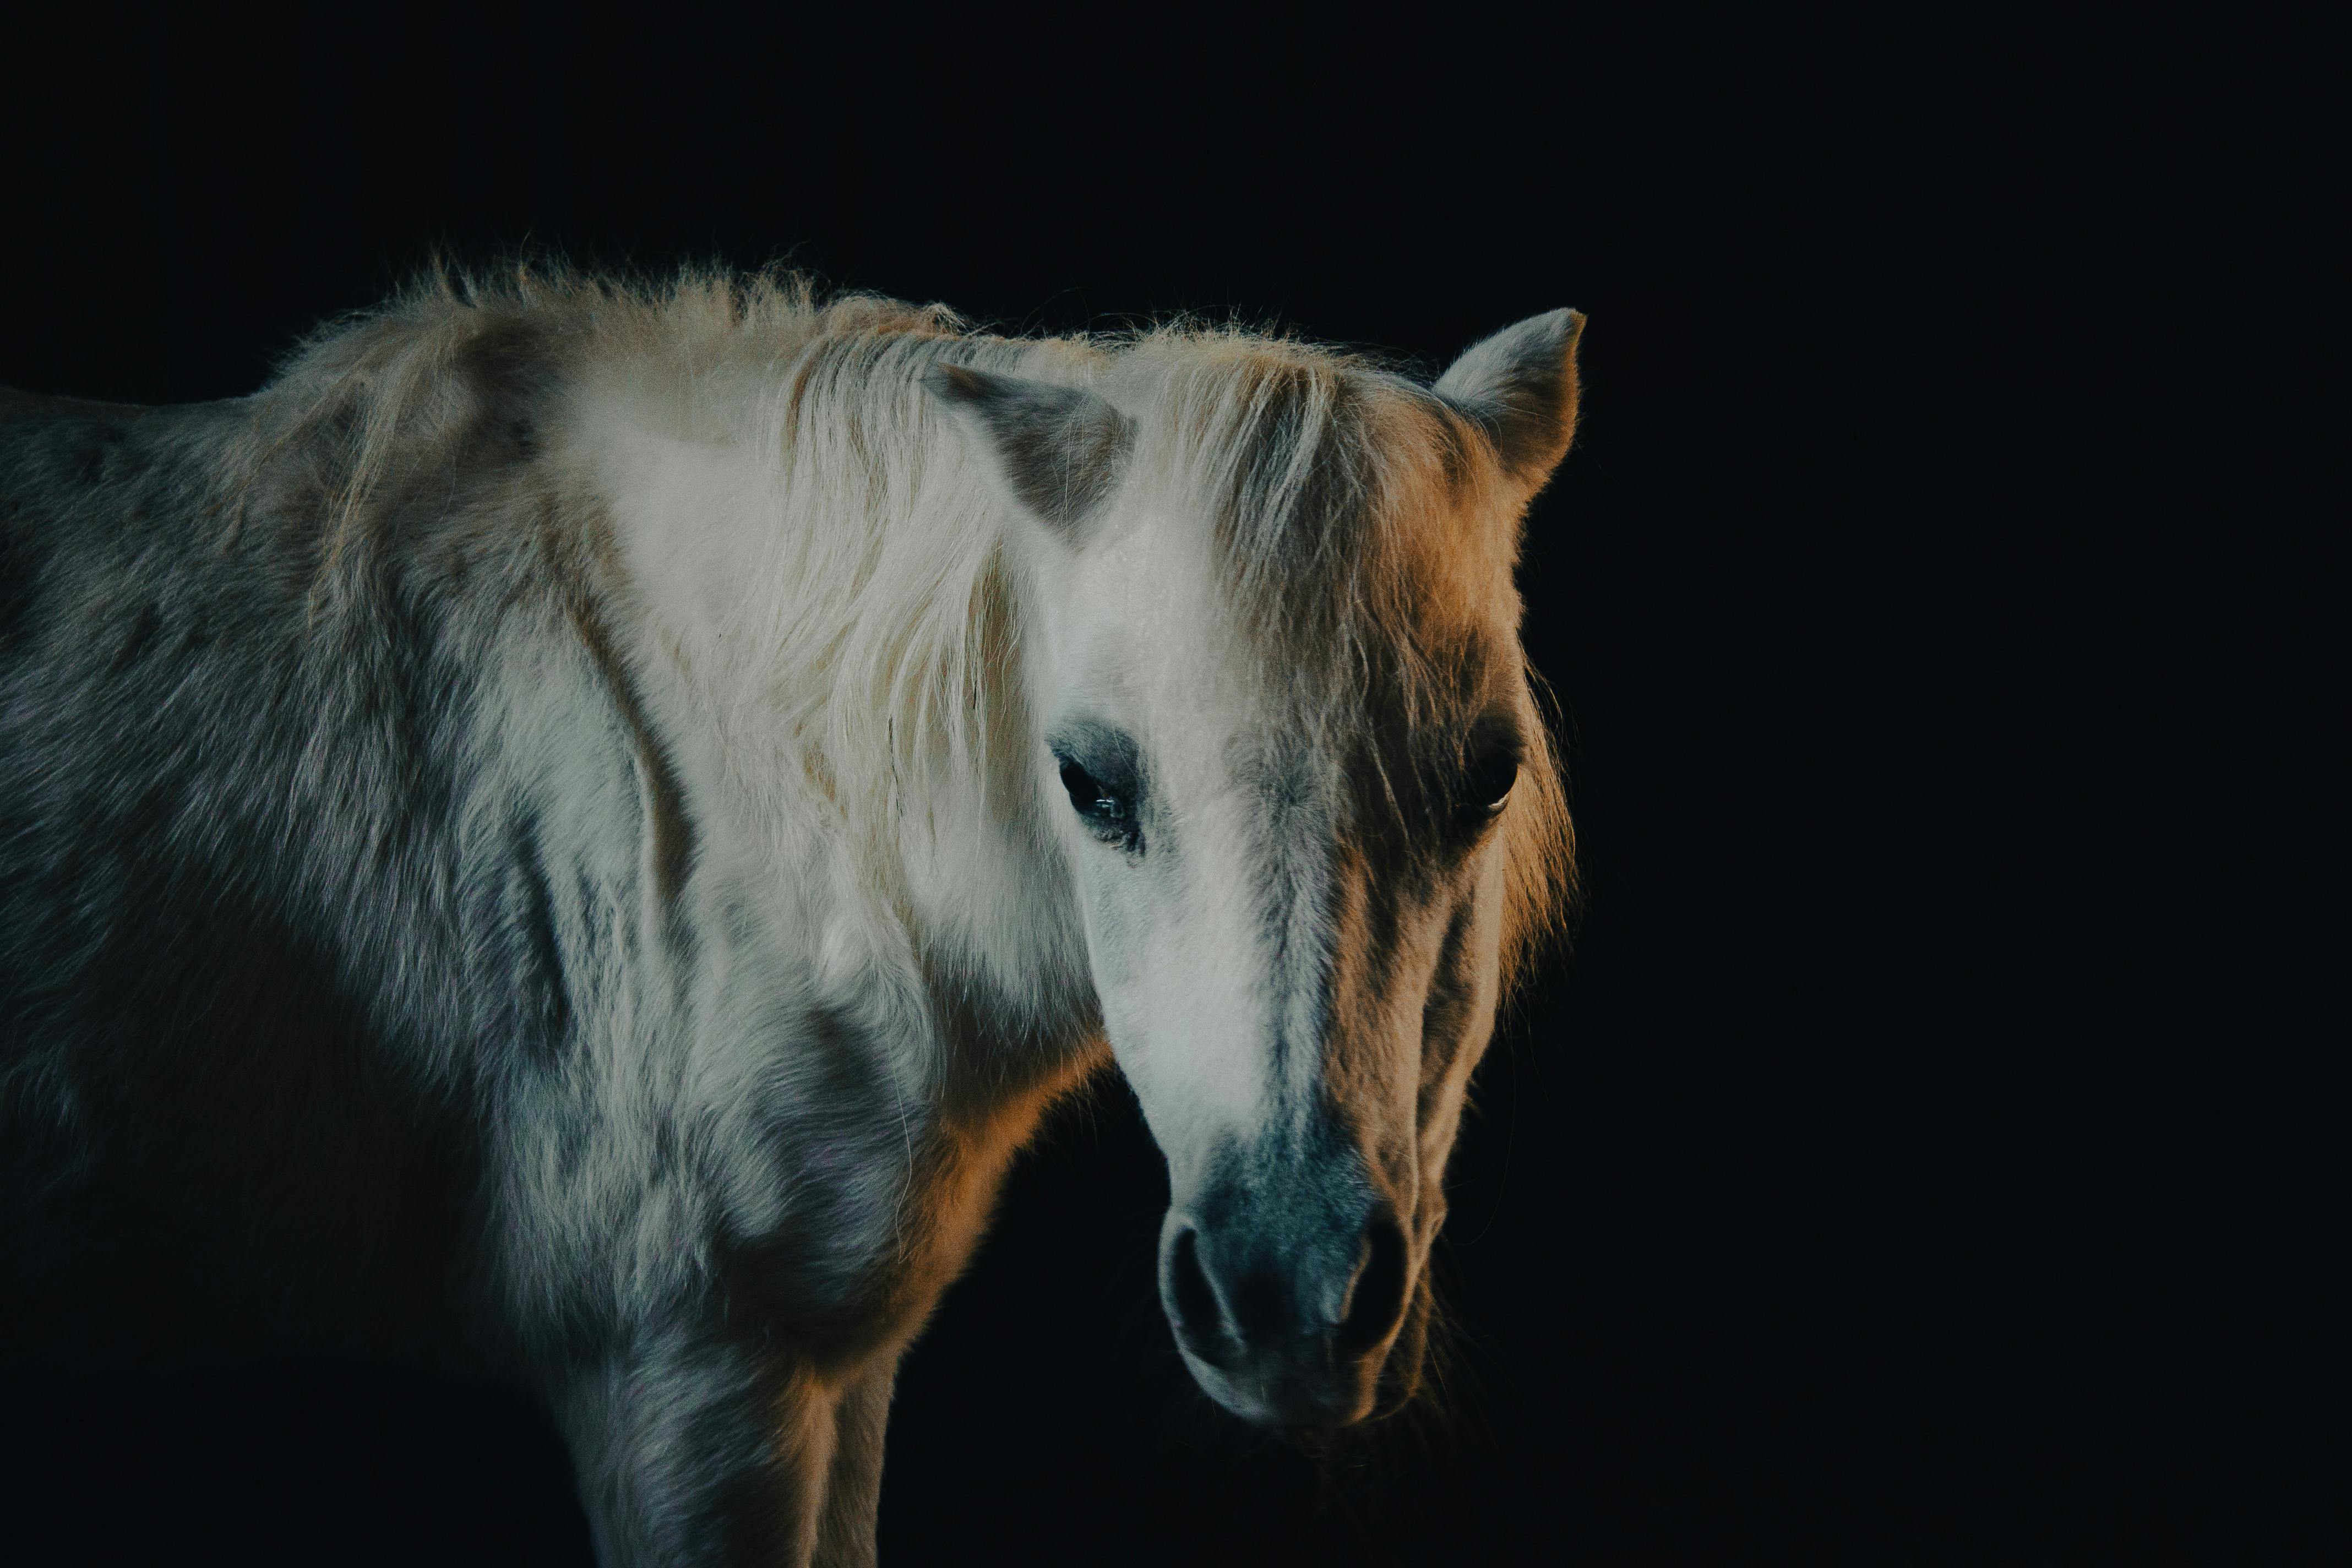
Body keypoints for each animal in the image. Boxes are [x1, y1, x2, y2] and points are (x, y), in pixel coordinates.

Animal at [0, 267, 1580, 1566]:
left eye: (1487, 778)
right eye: (1090, 781)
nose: (1290, 1296)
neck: (721, 789)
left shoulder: (834, 1371)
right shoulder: (692, 1382)